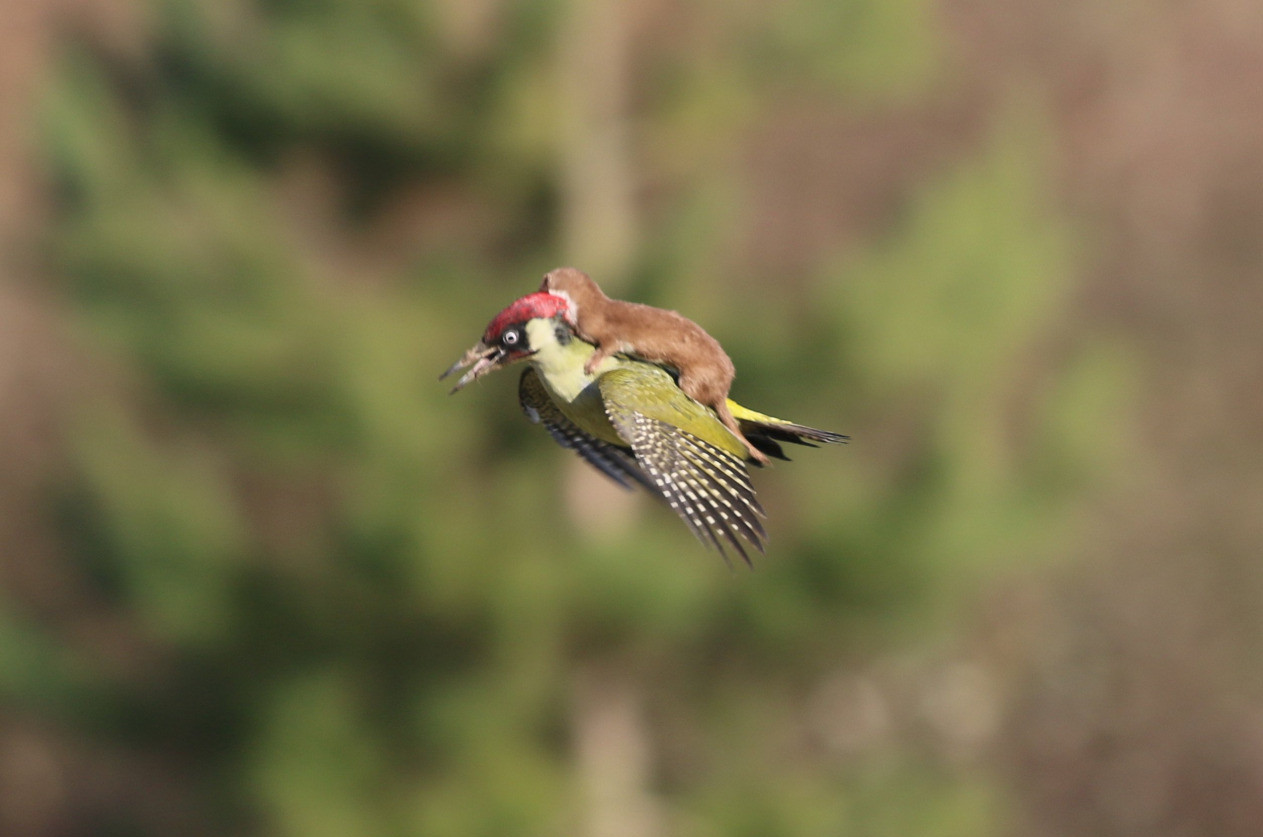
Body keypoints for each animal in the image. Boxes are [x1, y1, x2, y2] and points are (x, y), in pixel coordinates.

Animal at [538, 268, 762, 464]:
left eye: (542, 284)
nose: (537, 289)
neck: (588, 309)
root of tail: (724, 387)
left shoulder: (607, 332)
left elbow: (608, 346)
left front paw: (591, 364)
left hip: (695, 377)